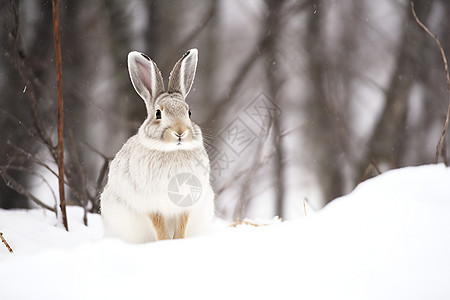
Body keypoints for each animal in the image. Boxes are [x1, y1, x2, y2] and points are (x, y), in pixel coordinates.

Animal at [100, 48, 214, 243]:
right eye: (158, 113)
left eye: (189, 112)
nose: (180, 132)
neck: (173, 151)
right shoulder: (151, 204)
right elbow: (159, 225)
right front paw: (165, 243)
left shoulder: (186, 203)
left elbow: (182, 224)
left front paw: (179, 241)